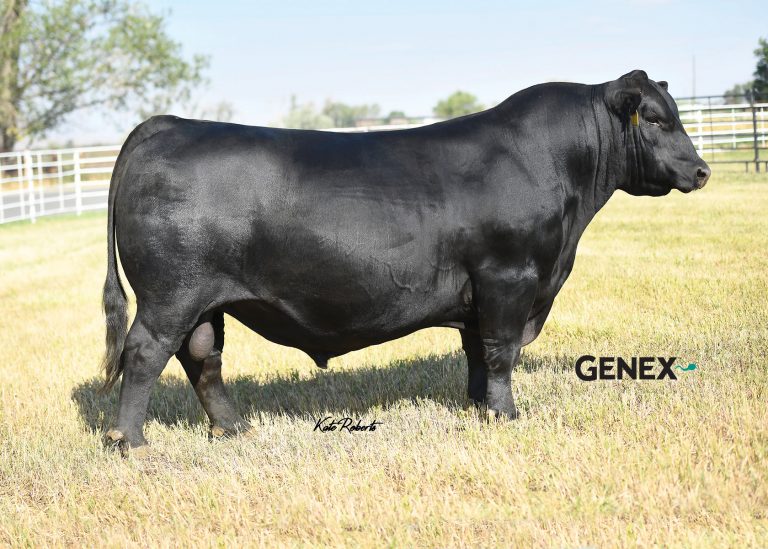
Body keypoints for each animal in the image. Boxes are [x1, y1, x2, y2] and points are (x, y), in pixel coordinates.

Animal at [101, 70, 710, 453]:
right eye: (656, 120)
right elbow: (501, 352)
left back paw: (233, 430)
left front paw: (478, 408)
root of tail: (168, 123)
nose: (701, 171)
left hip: (204, 299)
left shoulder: (481, 292)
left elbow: (476, 354)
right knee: (146, 353)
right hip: (171, 294)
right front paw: (506, 416)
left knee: (202, 357)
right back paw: (131, 442)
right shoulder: (508, 278)